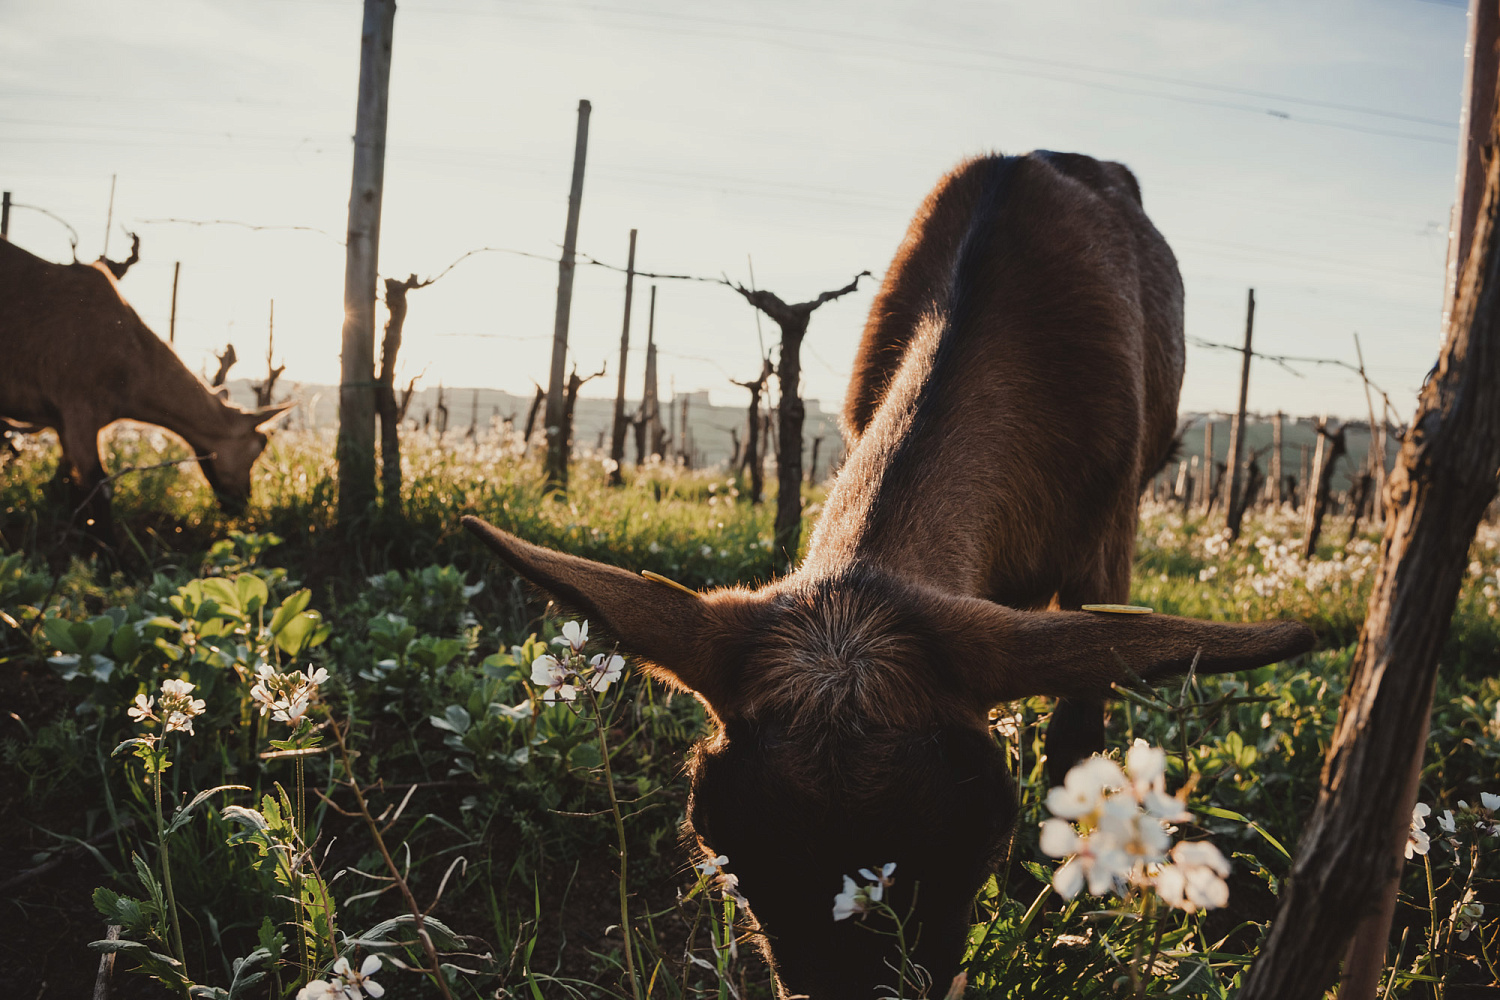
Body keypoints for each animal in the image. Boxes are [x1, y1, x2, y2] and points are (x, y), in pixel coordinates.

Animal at [0, 239, 290, 540]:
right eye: (259, 447)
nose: (241, 504)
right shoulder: (78, 408)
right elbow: (100, 487)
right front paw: (107, 547)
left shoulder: (62, 422)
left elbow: (69, 484)